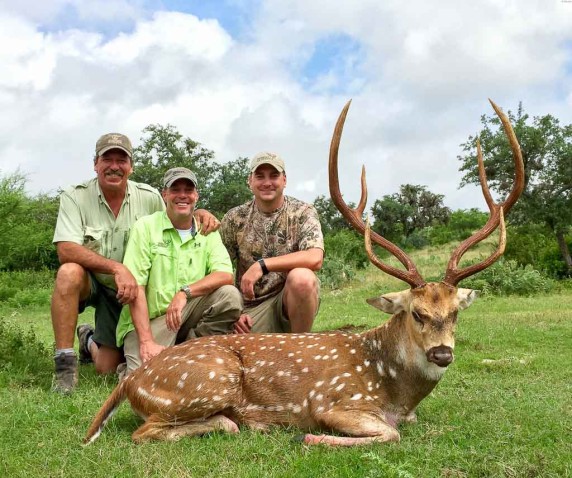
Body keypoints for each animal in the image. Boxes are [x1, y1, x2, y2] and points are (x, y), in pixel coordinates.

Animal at [82, 99, 524, 446]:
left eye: (455, 312)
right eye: (416, 312)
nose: (442, 353)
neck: (394, 389)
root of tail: (131, 381)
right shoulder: (333, 401)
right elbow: (389, 433)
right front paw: (309, 436)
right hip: (206, 382)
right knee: (147, 431)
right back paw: (241, 421)